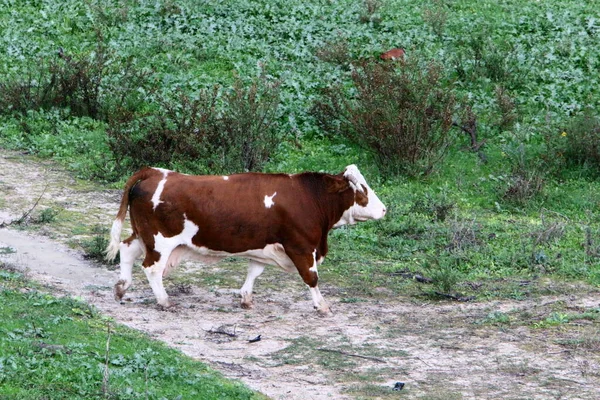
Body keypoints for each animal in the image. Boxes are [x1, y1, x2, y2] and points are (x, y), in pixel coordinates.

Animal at [105, 164, 386, 314]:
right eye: (362, 190)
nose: (384, 209)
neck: (308, 197)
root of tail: (155, 172)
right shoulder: (302, 247)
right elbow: (311, 278)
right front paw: (323, 306)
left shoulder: (264, 246)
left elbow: (254, 271)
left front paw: (246, 298)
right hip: (160, 242)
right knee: (152, 268)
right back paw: (164, 300)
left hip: (143, 235)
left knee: (127, 249)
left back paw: (121, 287)